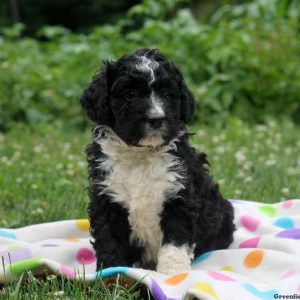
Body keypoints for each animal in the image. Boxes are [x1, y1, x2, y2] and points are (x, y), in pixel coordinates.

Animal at [81, 48, 236, 276]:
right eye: (130, 94)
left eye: (167, 95)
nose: (156, 119)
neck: (141, 154)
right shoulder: (106, 198)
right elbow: (109, 240)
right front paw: (111, 271)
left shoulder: (180, 196)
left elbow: (175, 241)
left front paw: (173, 274)